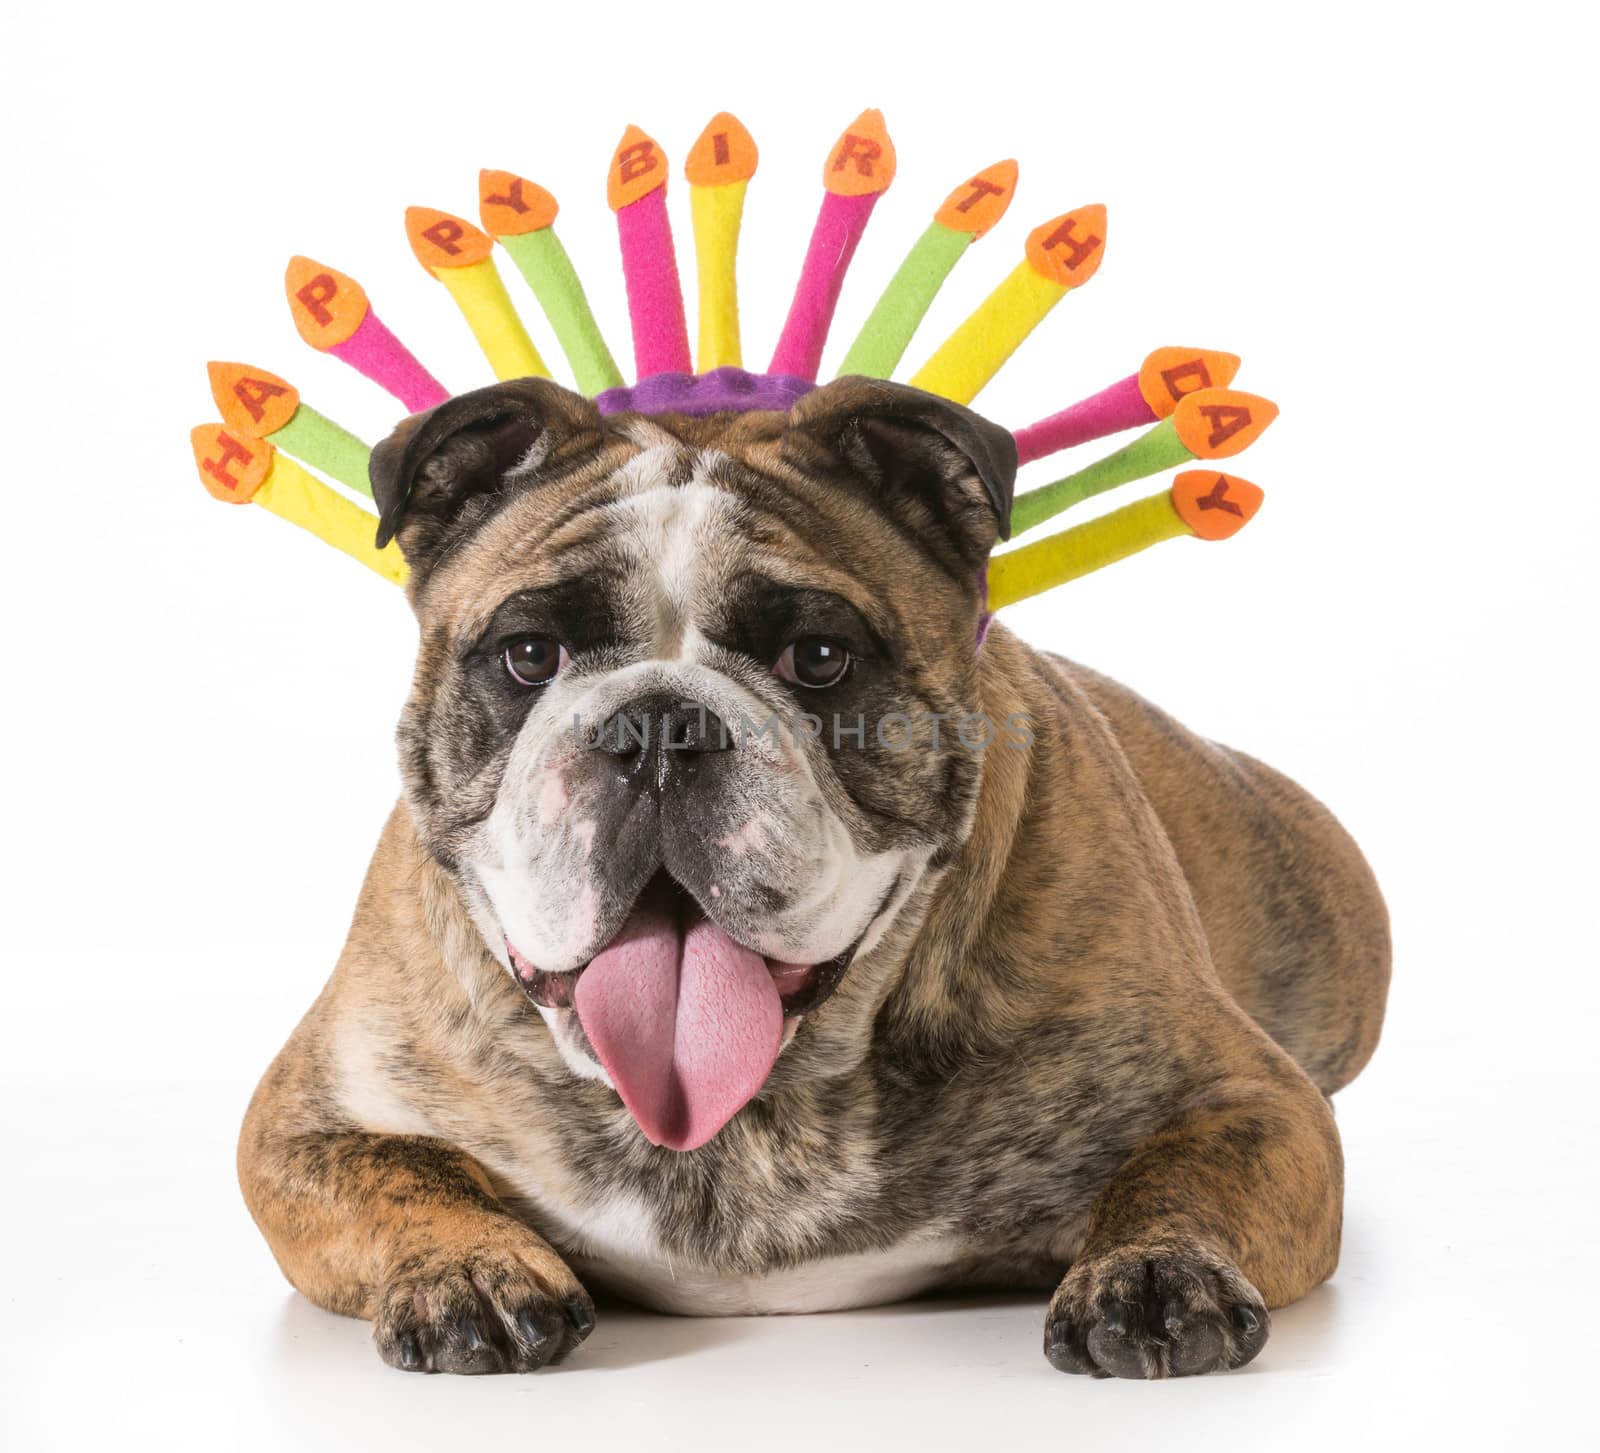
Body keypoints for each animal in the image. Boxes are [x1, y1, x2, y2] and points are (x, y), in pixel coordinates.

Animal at [236, 371, 1388, 1376]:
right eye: (529, 655)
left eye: (820, 658)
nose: (660, 727)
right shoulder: (302, 1124)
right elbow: (393, 1172)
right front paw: (468, 1269)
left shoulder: (1254, 1098)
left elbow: (1185, 1172)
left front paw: (1152, 1272)